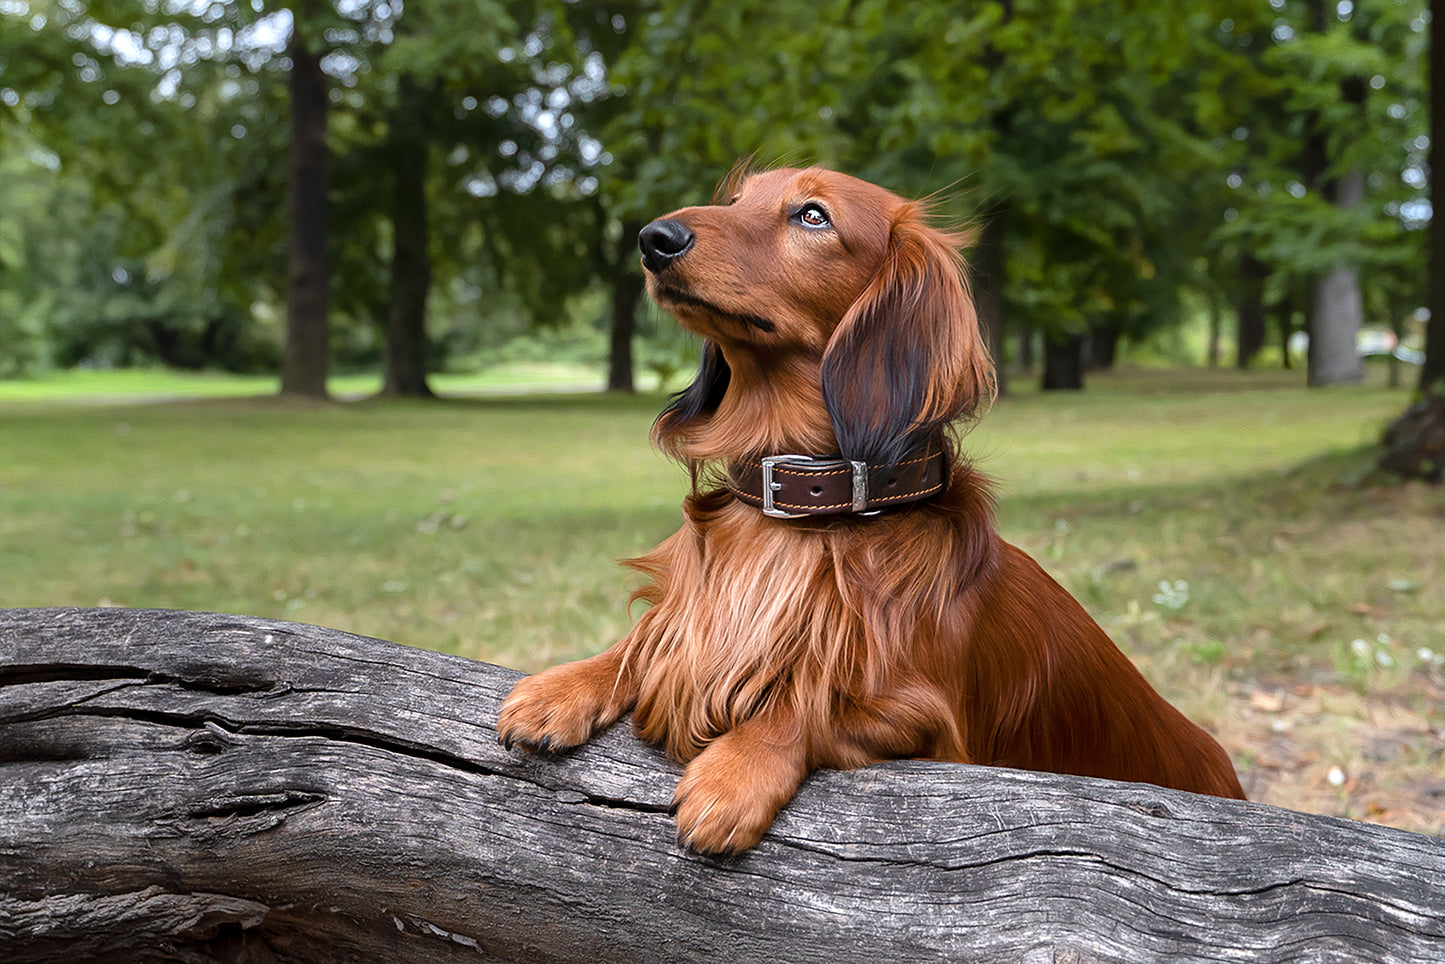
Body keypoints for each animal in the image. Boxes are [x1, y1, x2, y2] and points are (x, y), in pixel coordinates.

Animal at [497, 164, 1242, 849]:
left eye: (813, 216)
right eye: (734, 200)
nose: (654, 238)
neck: (799, 507)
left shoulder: (923, 715)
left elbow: (809, 702)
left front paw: (733, 774)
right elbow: (649, 640)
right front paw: (563, 686)